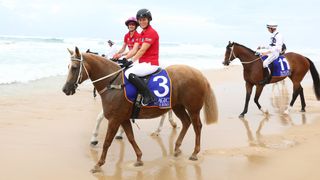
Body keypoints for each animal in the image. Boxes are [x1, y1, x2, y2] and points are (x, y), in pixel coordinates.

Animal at [61, 46, 219, 172]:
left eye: (74, 68)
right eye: (68, 67)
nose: (65, 89)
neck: (115, 83)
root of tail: (199, 74)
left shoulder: (114, 119)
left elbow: (107, 142)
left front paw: (98, 164)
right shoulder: (123, 118)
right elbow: (131, 138)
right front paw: (138, 158)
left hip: (193, 109)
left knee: (197, 126)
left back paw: (194, 153)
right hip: (177, 107)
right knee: (186, 122)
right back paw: (177, 147)